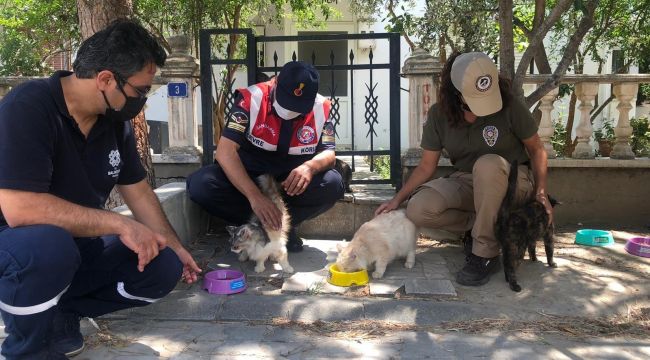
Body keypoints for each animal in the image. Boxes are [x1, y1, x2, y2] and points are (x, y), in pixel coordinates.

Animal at [494, 161, 556, 292]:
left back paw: (508, 280)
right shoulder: (549, 235)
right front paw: (551, 263)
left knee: (505, 263)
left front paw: (534, 258)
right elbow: (550, 250)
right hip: (517, 249)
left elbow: (532, 249)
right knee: (510, 266)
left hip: (507, 247)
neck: (539, 203)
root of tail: (506, 218)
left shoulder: (531, 239)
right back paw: (514, 284)